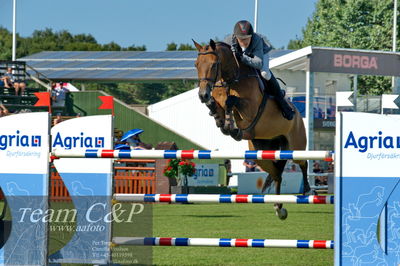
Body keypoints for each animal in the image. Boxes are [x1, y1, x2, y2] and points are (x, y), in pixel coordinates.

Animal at [193, 39, 312, 218]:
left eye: (214, 65)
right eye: (196, 64)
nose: (202, 95)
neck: (232, 79)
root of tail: (298, 115)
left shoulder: (250, 110)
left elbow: (231, 101)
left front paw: (230, 125)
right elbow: (218, 107)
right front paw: (220, 118)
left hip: (296, 146)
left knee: (303, 162)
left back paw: (307, 190)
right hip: (261, 154)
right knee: (277, 174)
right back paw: (279, 207)